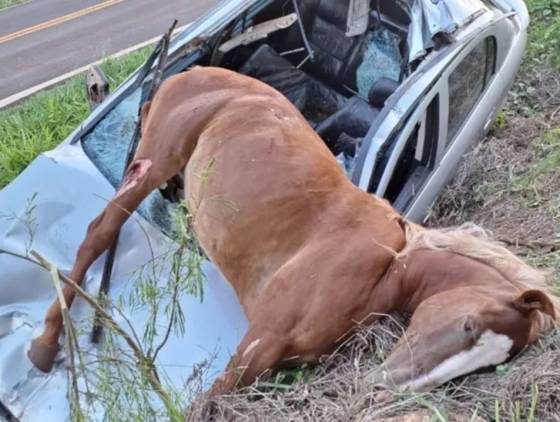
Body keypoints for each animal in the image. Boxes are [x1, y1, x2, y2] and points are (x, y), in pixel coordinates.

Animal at [29, 67, 560, 398]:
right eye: (468, 325)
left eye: (491, 364)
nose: (388, 386)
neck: (385, 267)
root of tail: (191, 71)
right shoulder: (258, 342)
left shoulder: (269, 359)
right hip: (157, 158)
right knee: (99, 233)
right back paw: (45, 345)